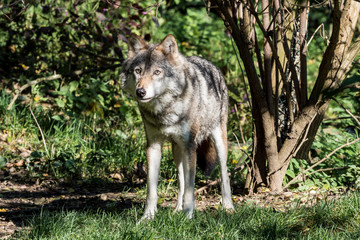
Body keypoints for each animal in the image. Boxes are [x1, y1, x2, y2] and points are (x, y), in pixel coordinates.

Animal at [119, 33, 235, 221]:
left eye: (157, 72)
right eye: (138, 71)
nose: (140, 92)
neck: (165, 110)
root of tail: (209, 63)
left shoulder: (190, 147)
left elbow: (190, 189)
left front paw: (188, 216)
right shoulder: (153, 146)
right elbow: (152, 190)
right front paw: (147, 217)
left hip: (218, 142)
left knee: (224, 176)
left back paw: (228, 207)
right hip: (176, 151)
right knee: (181, 180)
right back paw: (176, 210)